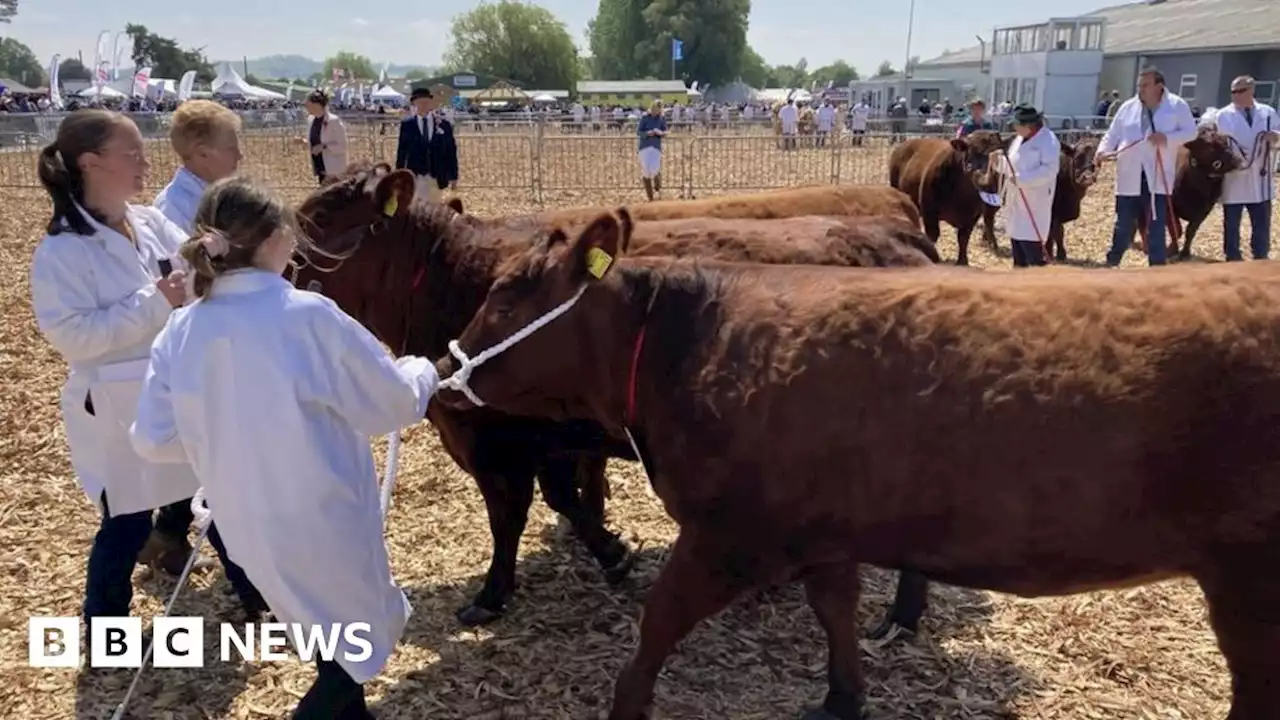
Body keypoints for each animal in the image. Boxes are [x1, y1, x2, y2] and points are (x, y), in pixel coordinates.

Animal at [294, 165, 947, 625]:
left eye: (319, 217)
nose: (287, 265)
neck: (450, 279)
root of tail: (897, 233)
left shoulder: (500, 443)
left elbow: (511, 517)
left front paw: (493, 593)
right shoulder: (547, 439)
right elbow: (564, 501)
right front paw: (611, 553)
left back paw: (900, 616)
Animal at [437, 217, 1280, 717]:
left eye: (508, 292)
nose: (445, 369)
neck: (686, 344)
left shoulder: (729, 533)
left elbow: (659, 620)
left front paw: (626, 703)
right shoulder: (825, 531)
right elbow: (833, 609)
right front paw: (842, 696)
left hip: (1249, 577)